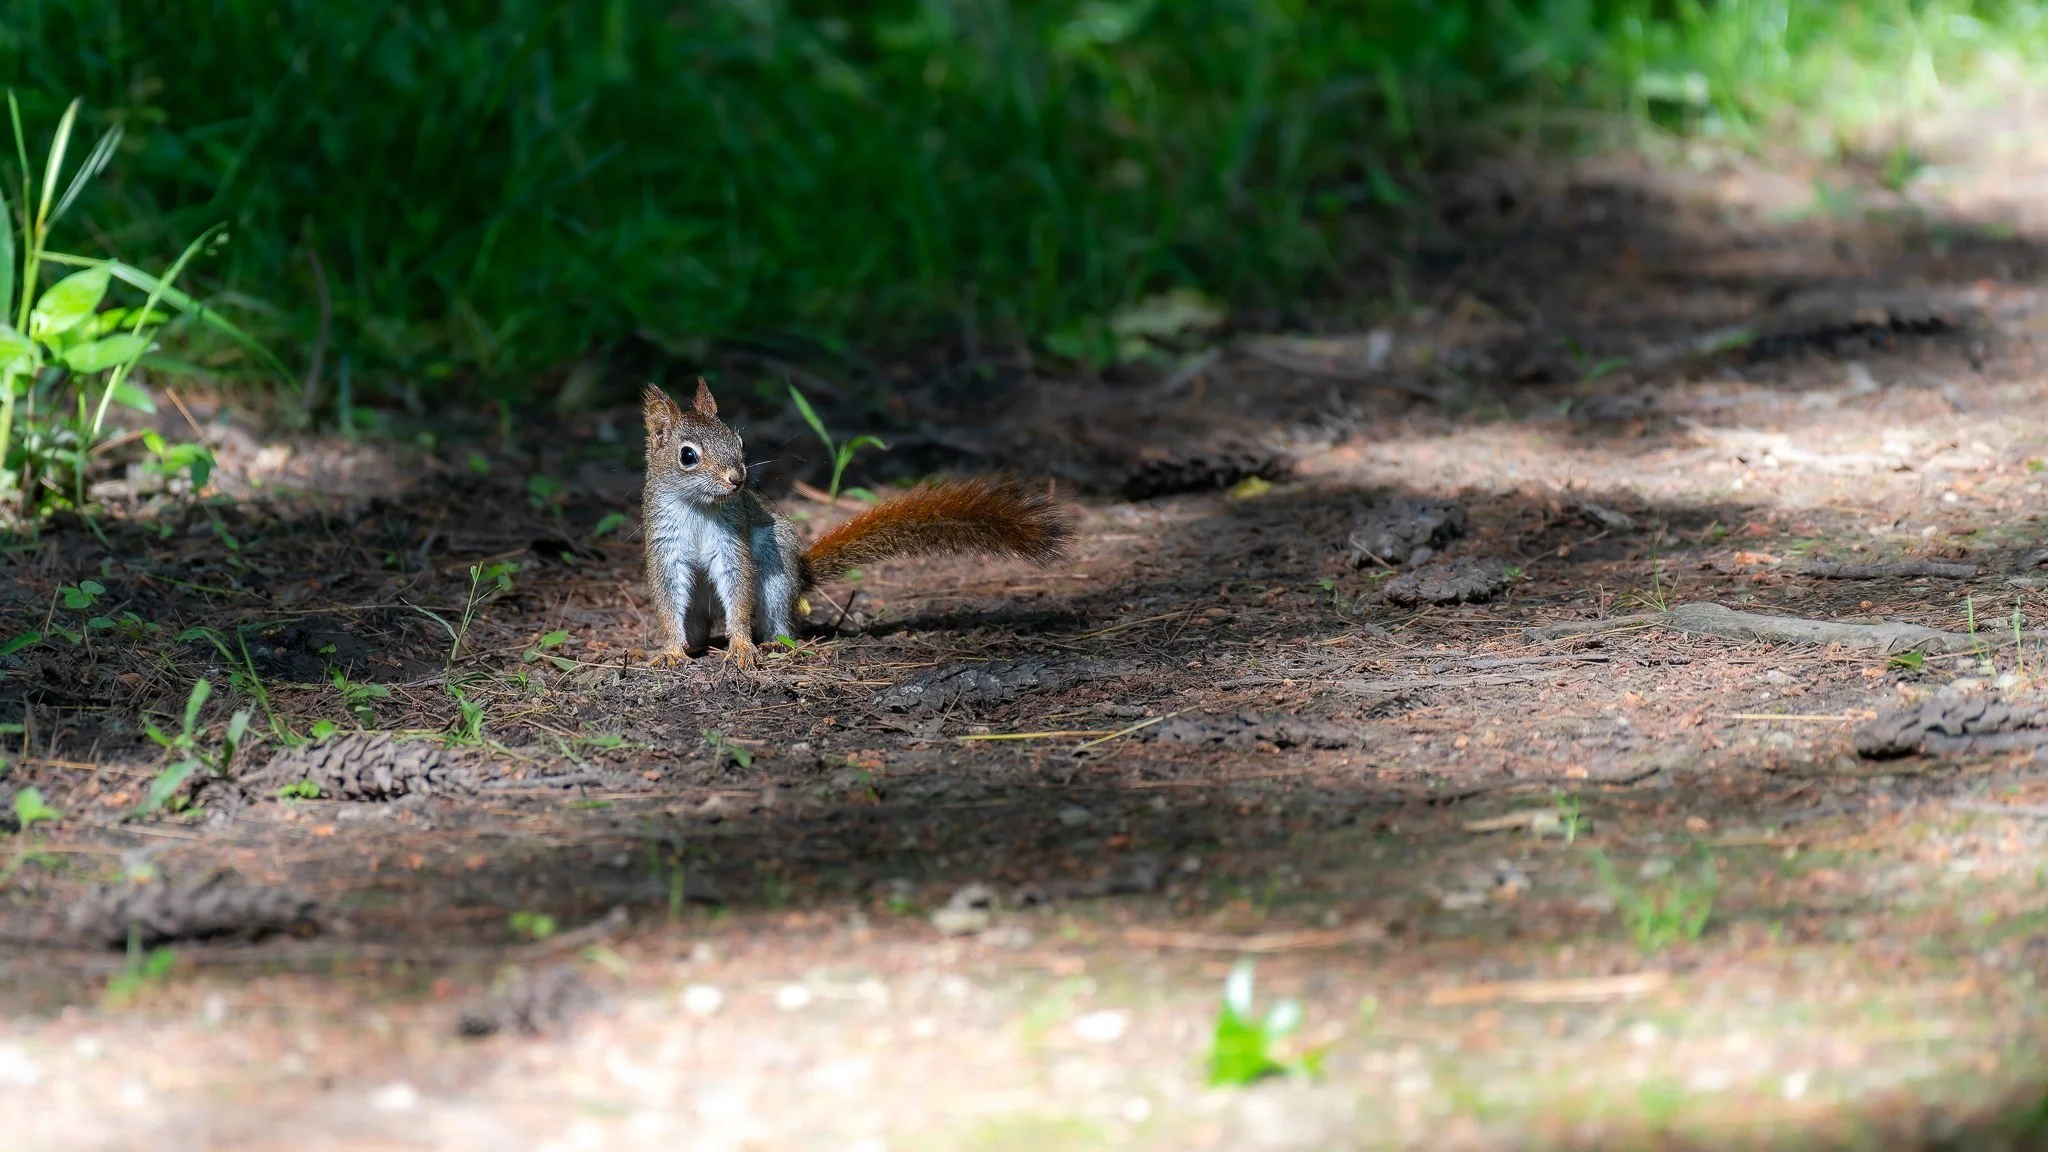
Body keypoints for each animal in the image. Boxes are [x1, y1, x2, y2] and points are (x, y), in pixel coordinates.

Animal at [639, 379, 1074, 669]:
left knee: (781, 618)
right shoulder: (665, 545)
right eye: (688, 456)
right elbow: (667, 597)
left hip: (777, 575)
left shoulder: (734, 543)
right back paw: (683, 646)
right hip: (703, 603)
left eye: (740, 443)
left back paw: (776, 643)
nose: (737, 478)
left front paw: (743, 648)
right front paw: (671, 651)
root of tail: (800, 576)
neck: (699, 508)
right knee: (696, 625)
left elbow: (739, 591)